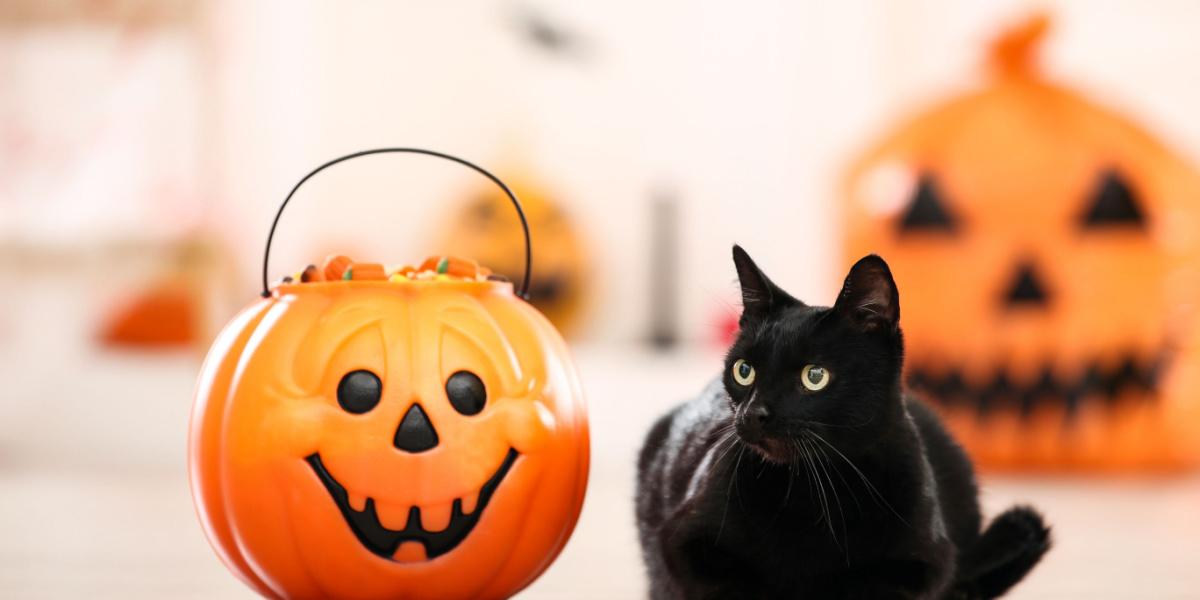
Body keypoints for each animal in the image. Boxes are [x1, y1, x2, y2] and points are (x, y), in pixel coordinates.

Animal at [638, 246, 1051, 597]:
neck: (810, 491)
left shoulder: (925, 563)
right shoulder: (681, 544)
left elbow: (863, 585)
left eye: (814, 376)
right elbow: (735, 584)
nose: (752, 413)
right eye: (744, 371)